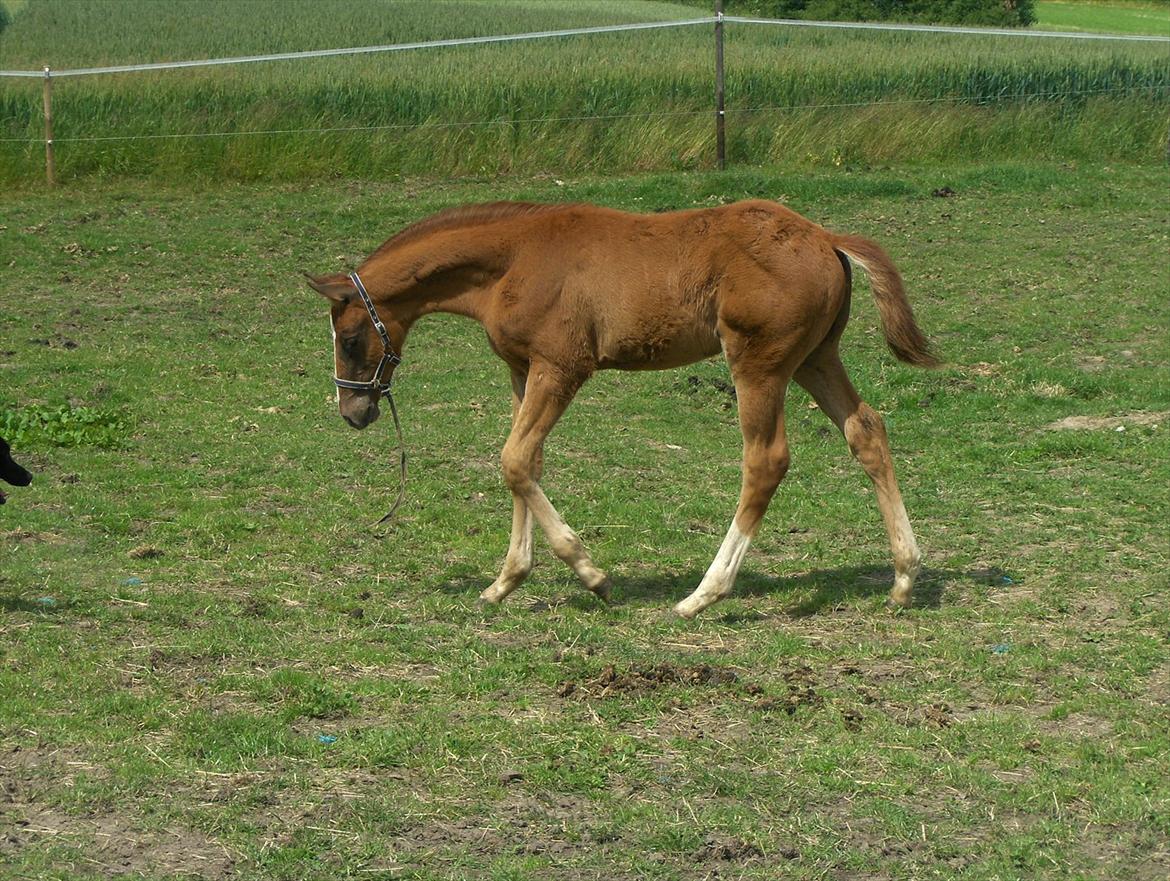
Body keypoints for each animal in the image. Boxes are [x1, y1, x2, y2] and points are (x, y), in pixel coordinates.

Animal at [306, 198, 935, 613]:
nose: (353, 413)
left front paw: (592, 574)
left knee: (767, 460)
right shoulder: (522, 370)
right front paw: (506, 581)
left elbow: (513, 459)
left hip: (761, 364)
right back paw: (904, 578)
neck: (515, 259)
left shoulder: (562, 367)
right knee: (866, 431)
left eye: (350, 339)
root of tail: (826, 238)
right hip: (815, 358)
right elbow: (525, 465)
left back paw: (702, 594)